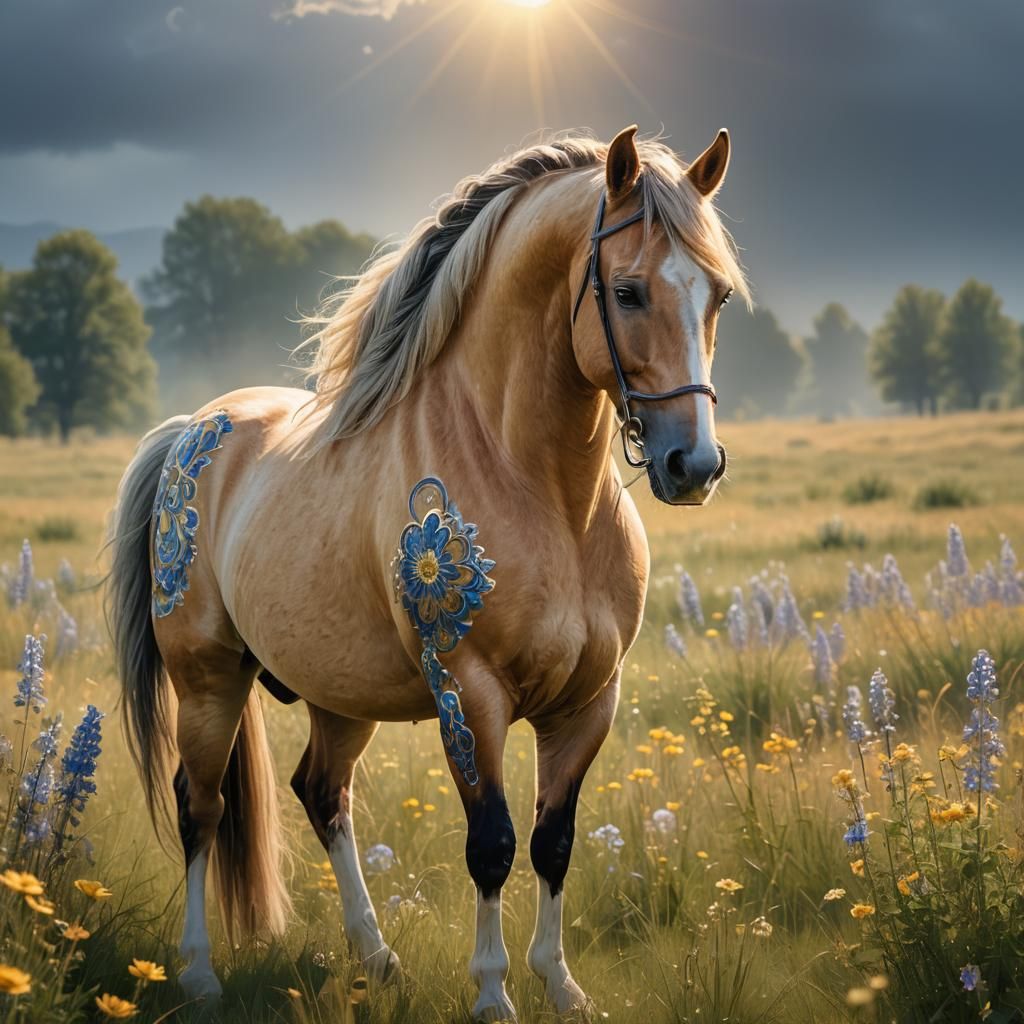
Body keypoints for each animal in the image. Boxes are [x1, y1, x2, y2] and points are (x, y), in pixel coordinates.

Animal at [106, 125, 748, 1021]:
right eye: (626, 292)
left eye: (716, 295)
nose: (694, 464)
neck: (540, 489)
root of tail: (192, 431)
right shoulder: (467, 693)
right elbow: (494, 845)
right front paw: (492, 992)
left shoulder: (590, 701)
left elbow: (554, 843)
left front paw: (563, 985)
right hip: (208, 681)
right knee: (200, 807)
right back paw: (199, 973)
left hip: (339, 696)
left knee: (322, 794)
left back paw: (376, 958)